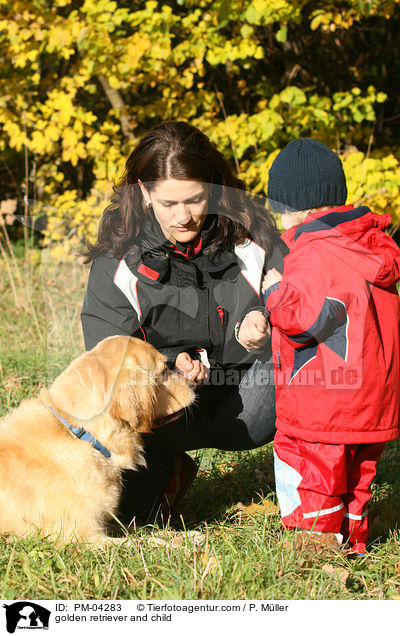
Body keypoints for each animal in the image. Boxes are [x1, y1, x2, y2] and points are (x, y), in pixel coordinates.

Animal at [0, 336, 195, 544]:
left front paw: (188, 535)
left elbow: (146, 529)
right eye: (164, 370)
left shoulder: (108, 522)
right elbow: (142, 542)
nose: (194, 384)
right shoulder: (83, 536)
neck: (79, 432)